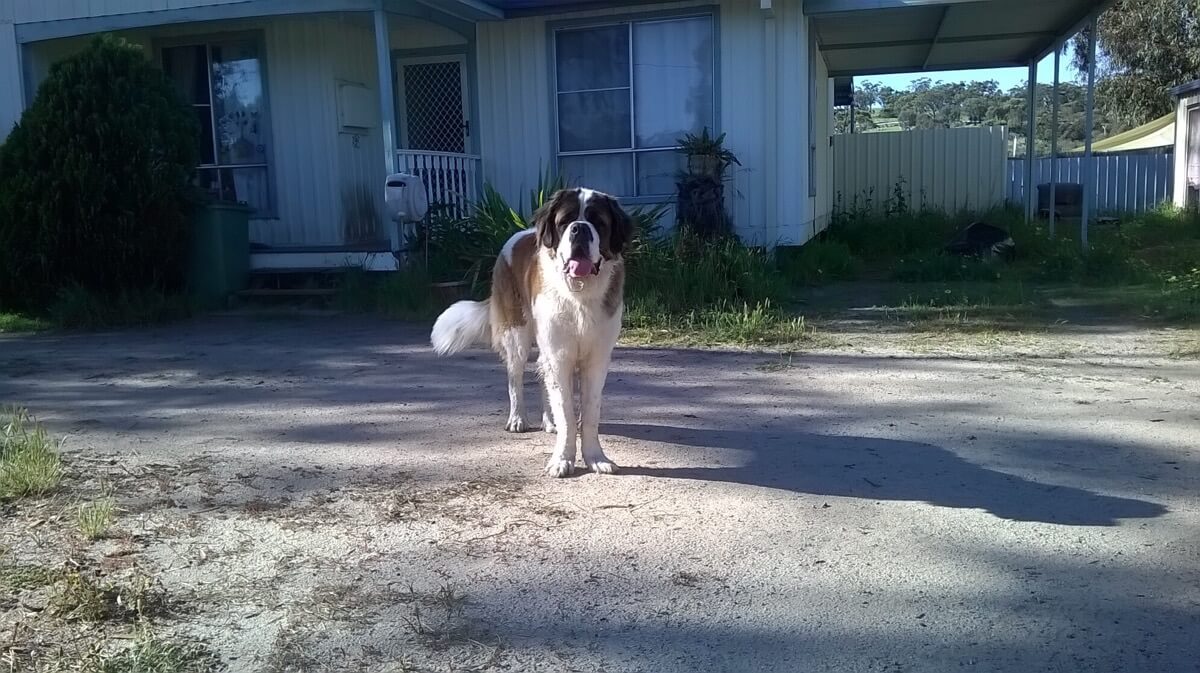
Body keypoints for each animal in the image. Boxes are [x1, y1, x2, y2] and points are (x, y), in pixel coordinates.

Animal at [429, 185, 633, 475]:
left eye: (597, 222)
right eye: (565, 221)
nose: (579, 228)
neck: (579, 293)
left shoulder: (597, 359)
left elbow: (589, 412)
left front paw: (596, 457)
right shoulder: (559, 355)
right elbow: (567, 412)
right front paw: (562, 459)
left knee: (542, 373)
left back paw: (549, 421)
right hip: (516, 335)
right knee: (515, 378)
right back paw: (518, 418)